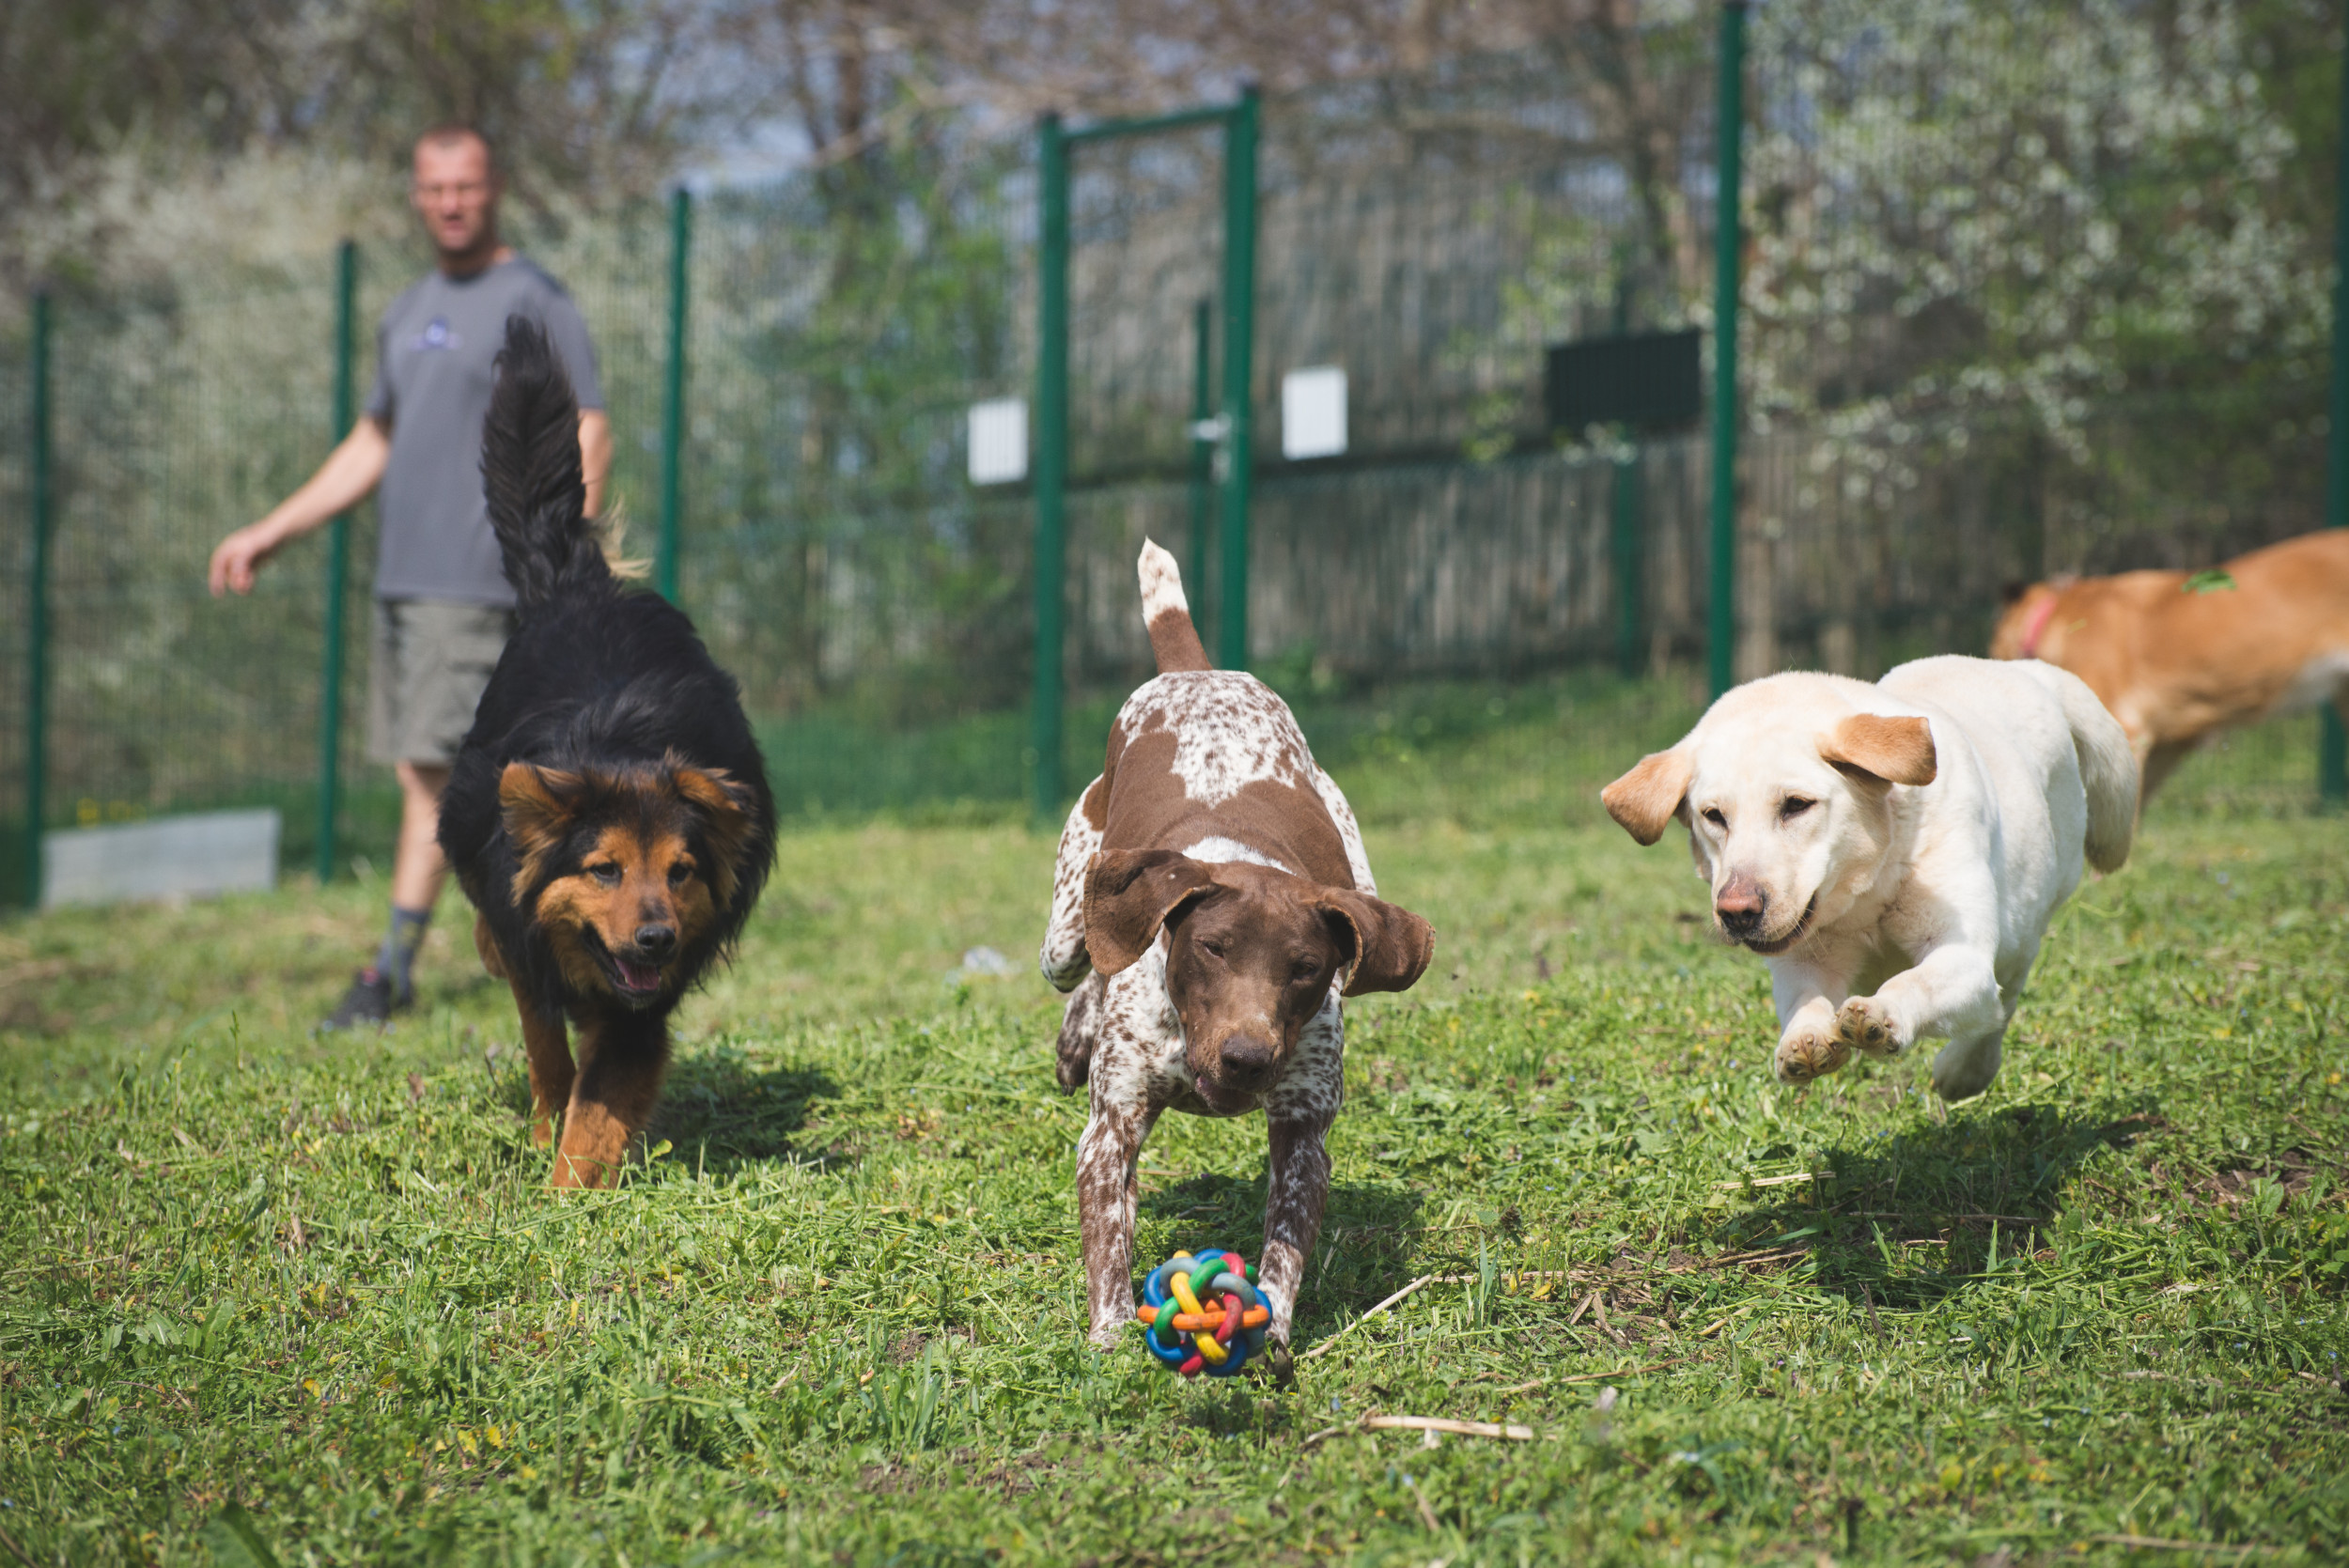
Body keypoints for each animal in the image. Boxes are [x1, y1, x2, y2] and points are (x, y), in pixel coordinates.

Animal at [437, 318, 775, 1188]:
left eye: (681, 872)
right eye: (603, 870)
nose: (657, 939)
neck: (620, 754)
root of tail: (576, 583)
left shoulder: (640, 1005)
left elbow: (599, 1103)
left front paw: (567, 1190)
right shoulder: (532, 938)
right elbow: (543, 1040)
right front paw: (544, 1130)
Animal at [1043, 544, 1428, 1352]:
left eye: (1307, 968)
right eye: (1213, 949)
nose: (1247, 1057)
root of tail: (1196, 672)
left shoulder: (1303, 1130)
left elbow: (1285, 1245)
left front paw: (1270, 1324)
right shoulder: (1111, 1130)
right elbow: (1109, 1241)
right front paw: (1111, 1335)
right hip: (1063, 930)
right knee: (1089, 954)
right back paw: (1076, 1036)